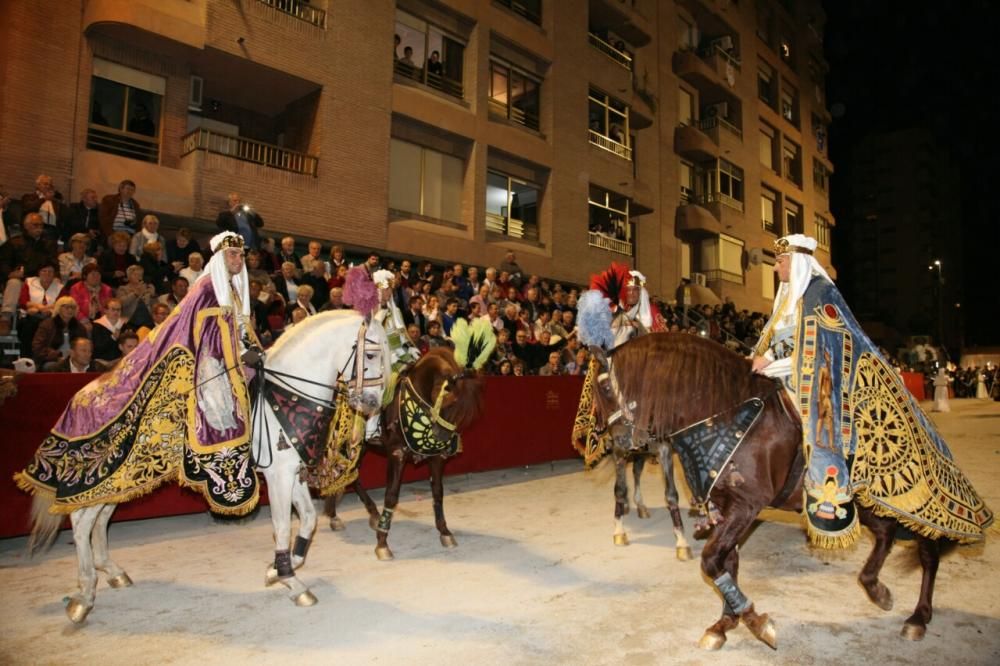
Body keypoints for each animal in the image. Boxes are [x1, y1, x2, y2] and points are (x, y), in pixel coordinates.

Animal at [26, 308, 386, 620]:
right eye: (371, 354)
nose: (371, 404)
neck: (286, 395)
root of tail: (85, 393)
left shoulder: (293, 473)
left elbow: (309, 520)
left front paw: (279, 569)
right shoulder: (279, 476)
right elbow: (283, 526)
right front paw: (290, 580)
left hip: (123, 479)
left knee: (99, 519)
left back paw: (112, 572)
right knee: (81, 521)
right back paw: (84, 594)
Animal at [324, 344, 484, 556]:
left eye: (463, 413)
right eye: (448, 403)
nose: (443, 438)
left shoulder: (436, 457)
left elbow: (438, 492)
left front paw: (445, 532)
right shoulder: (396, 454)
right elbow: (391, 495)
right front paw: (382, 543)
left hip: (360, 447)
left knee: (351, 475)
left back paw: (365, 513)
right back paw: (336, 515)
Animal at [588, 332, 956, 648]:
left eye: (603, 389)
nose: (618, 442)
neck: (723, 410)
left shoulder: (746, 506)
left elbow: (712, 561)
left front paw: (755, 622)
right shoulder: (728, 507)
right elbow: (727, 562)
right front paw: (724, 623)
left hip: (905, 501)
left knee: (927, 550)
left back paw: (919, 617)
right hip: (864, 505)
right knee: (886, 533)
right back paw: (876, 588)